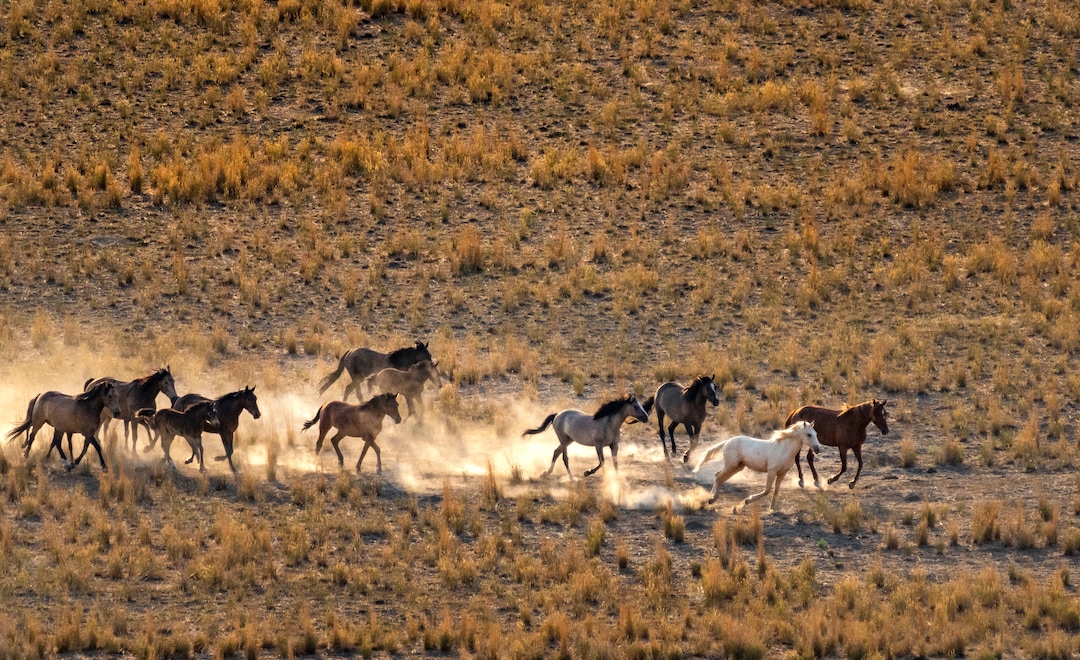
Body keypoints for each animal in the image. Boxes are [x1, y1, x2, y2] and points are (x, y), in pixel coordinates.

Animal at [521, 394, 650, 479]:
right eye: (636, 407)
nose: (647, 418)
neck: (608, 424)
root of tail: (557, 414)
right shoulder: (598, 445)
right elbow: (602, 462)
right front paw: (587, 472)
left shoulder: (614, 445)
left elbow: (615, 463)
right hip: (564, 440)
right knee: (564, 458)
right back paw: (572, 479)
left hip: (569, 440)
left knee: (556, 452)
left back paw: (545, 473)